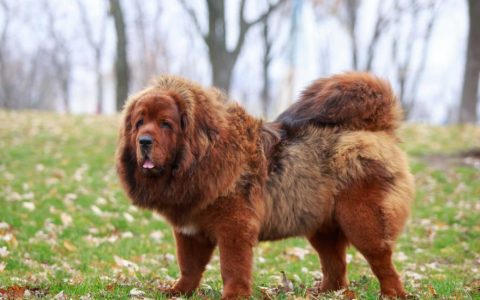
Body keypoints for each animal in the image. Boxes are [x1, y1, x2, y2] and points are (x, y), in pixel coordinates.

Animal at [115, 72, 412, 298]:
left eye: (166, 124)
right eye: (139, 122)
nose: (144, 141)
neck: (202, 157)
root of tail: (377, 130)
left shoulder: (234, 227)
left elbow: (232, 267)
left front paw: (233, 295)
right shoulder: (189, 230)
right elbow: (189, 266)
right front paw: (177, 292)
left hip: (362, 220)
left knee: (382, 262)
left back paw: (391, 294)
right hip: (321, 225)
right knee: (335, 266)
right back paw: (323, 292)